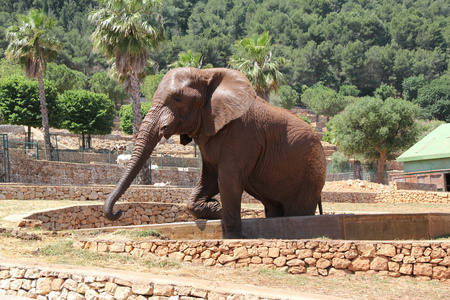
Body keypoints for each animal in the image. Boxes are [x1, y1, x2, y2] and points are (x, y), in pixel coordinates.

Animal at [103, 67, 326, 238]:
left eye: (177, 99)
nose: (118, 211)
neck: (206, 74)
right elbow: (209, 178)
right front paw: (216, 209)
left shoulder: (243, 135)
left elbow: (228, 179)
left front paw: (234, 236)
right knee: (275, 210)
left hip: (310, 175)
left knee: (298, 209)